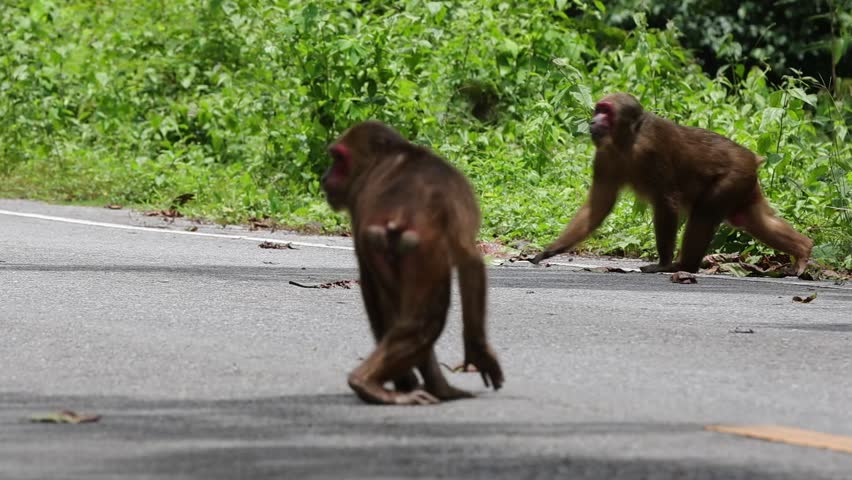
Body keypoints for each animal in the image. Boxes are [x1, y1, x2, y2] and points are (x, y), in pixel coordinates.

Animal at [321, 120, 504, 405]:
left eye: (338, 159)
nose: (324, 177)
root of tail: (398, 217)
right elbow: (470, 260)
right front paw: (479, 353)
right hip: (425, 252)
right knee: (425, 322)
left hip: (384, 245)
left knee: (406, 319)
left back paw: (378, 384)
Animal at [532, 93, 813, 275]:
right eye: (597, 109)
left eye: (606, 111)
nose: (593, 121)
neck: (628, 141)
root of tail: (752, 158)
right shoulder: (605, 156)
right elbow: (599, 206)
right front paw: (552, 249)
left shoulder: (651, 150)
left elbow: (666, 200)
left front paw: (663, 263)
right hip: (745, 184)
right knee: (751, 219)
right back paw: (803, 249)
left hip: (734, 177)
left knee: (704, 214)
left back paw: (683, 266)